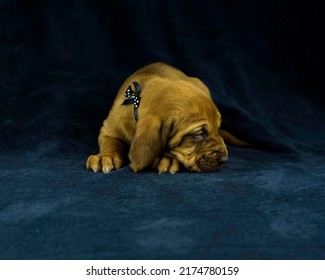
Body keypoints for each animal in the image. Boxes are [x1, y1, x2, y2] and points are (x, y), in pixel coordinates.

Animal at [85, 62, 246, 173]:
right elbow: (111, 142)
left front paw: (167, 159)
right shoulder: (108, 130)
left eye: (217, 128)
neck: (138, 101)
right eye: (199, 134)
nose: (224, 160)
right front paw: (105, 156)